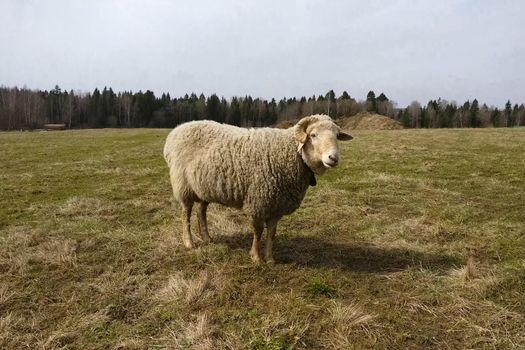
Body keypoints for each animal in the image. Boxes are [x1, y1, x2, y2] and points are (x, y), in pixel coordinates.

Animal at [163, 114, 352, 262]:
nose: (333, 158)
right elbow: (258, 231)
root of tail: (176, 130)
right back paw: (189, 242)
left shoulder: (277, 205)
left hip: (204, 186)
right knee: (186, 214)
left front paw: (270, 258)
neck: (292, 155)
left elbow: (272, 233)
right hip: (183, 185)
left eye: (337, 135)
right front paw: (256, 257)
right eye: (313, 135)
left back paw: (207, 238)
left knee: (201, 211)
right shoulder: (258, 202)